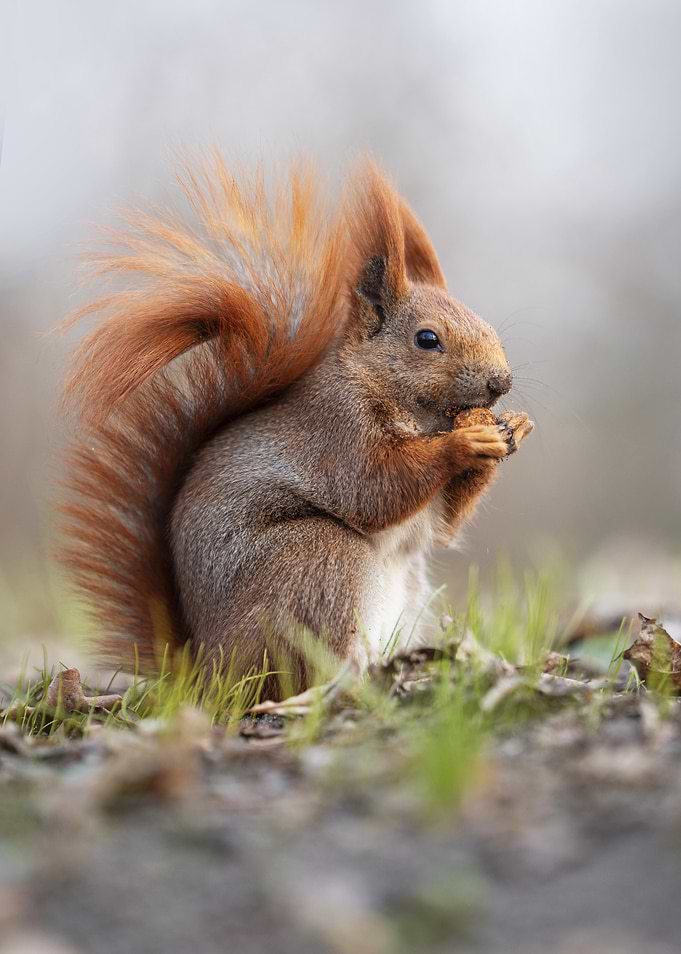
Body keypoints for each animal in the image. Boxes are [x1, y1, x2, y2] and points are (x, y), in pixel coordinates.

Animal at [59, 157, 534, 698]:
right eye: (427, 339)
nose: (502, 382)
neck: (417, 410)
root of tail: (208, 673)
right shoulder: (337, 431)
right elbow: (376, 486)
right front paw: (466, 441)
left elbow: (444, 525)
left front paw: (513, 429)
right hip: (318, 559)